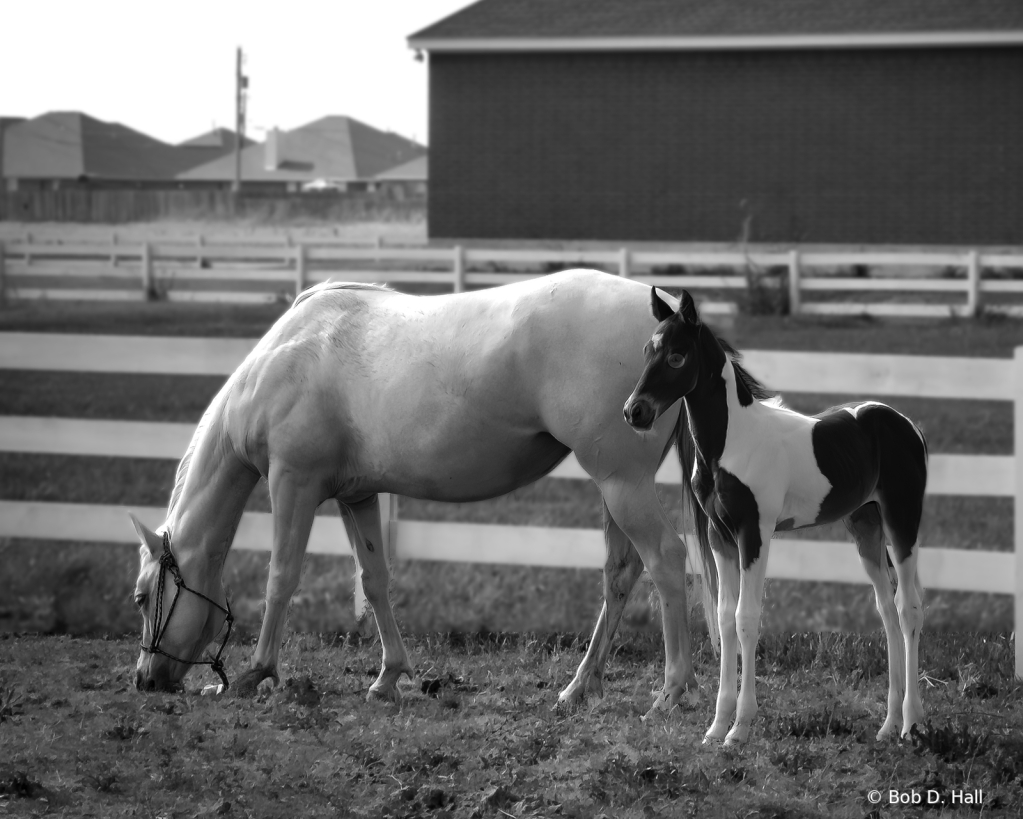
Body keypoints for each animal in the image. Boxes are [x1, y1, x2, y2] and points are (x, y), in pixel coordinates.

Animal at [621, 288, 928, 748]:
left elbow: (747, 619)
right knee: (887, 611)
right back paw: (888, 725)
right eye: (645, 350)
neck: (731, 443)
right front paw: (716, 727)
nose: (634, 411)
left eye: (677, 356)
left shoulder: (755, 533)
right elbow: (725, 618)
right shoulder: (720, 536)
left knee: (908, 609)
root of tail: (905, 423)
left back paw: (910, 724)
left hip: (901, 520)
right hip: (865, 526)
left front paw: (739, 729)